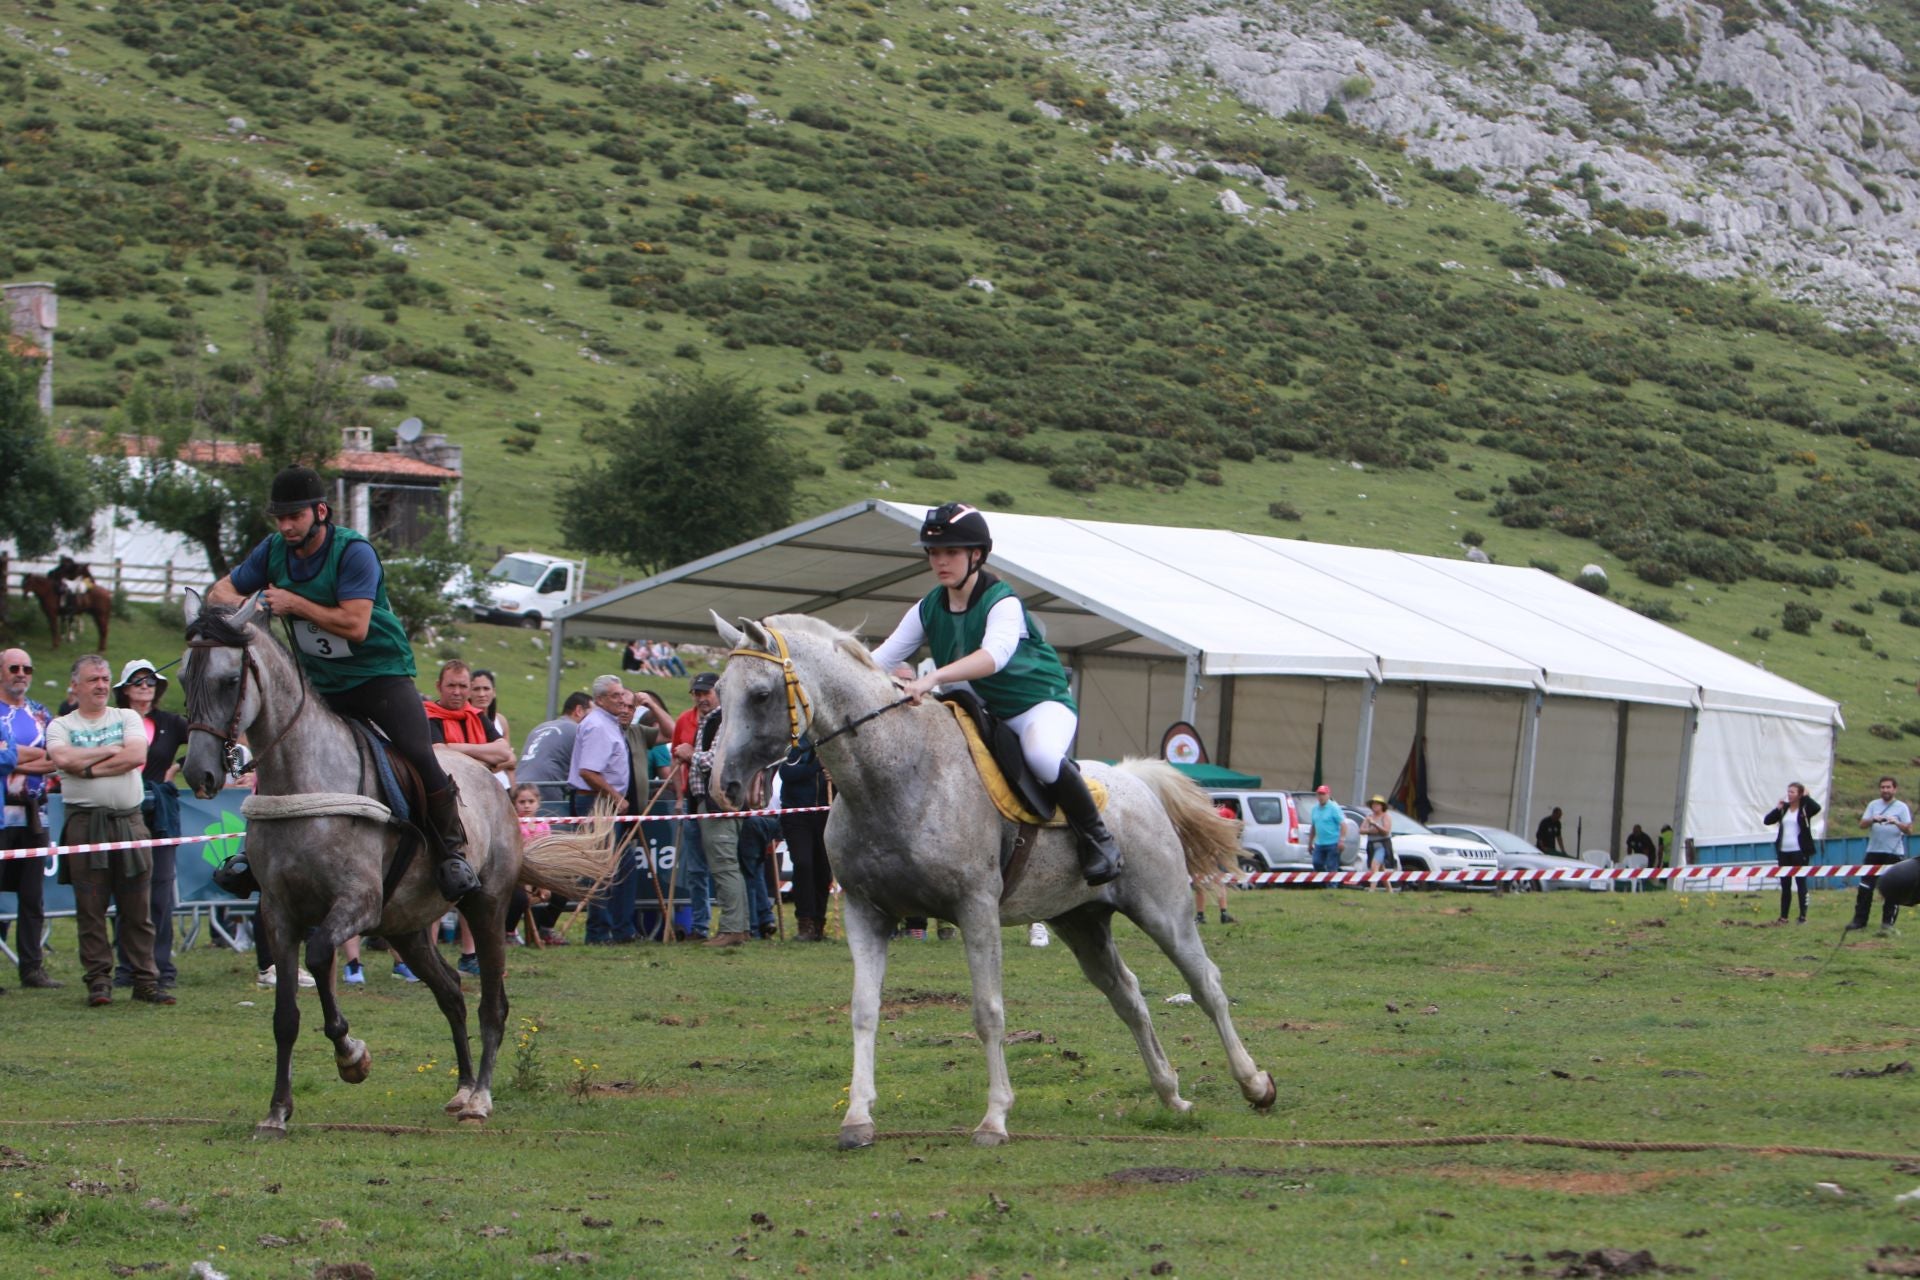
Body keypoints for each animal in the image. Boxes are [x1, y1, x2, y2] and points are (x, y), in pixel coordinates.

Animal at [179, 594, 610, 1143]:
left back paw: (480, 1098)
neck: (304, 779)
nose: (199, 773)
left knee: (492, 1003)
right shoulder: (278, 914)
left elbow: (320, 956)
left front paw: (351, 1057)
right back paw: (462, 1088)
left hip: (487, 907)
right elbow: (285, 1015)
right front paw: (277, 1112)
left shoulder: (355, 905)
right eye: (183, 676)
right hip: (405, 927)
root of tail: (499, 789)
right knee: (451, 993)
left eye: (229, 679)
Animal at [710, 614, 1274, 1151]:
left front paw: (995, 1119)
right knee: (1128, 996)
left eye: (760, 695)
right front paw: (857, 1118)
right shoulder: (865, 913)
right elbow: (864, 1011)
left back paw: (1254, 1083)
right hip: (1081, 922)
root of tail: (1136, 779)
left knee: (1206, 986)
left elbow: (988, 1013)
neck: (894, 774)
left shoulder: (975, 909)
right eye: (720, 691)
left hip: (1164, 912)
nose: (724, 786)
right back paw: (1171, 1094)